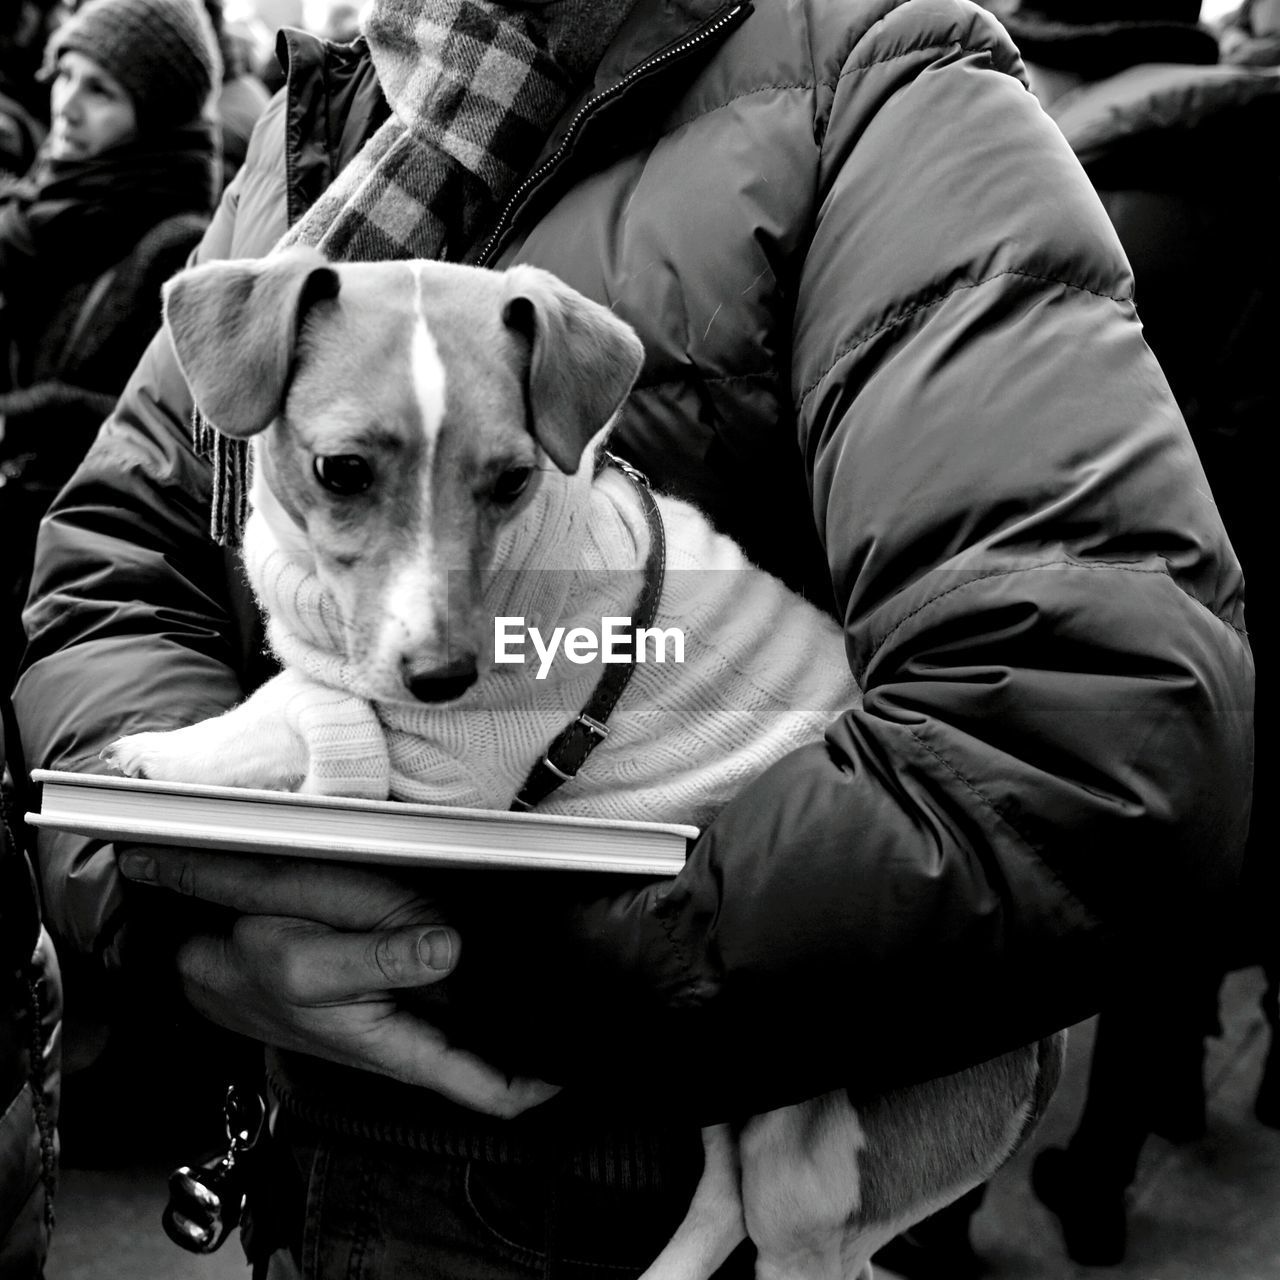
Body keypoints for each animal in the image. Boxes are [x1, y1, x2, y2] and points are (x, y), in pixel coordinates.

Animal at [104, 249, 1064, 1280]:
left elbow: (286, 718)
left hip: (809, 1175)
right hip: (727, 1073)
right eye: (342, 470)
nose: (445, 677)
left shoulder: (442, 767)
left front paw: (164, 755)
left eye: (513, 479)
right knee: (717, 1198)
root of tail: (1036, 1056)